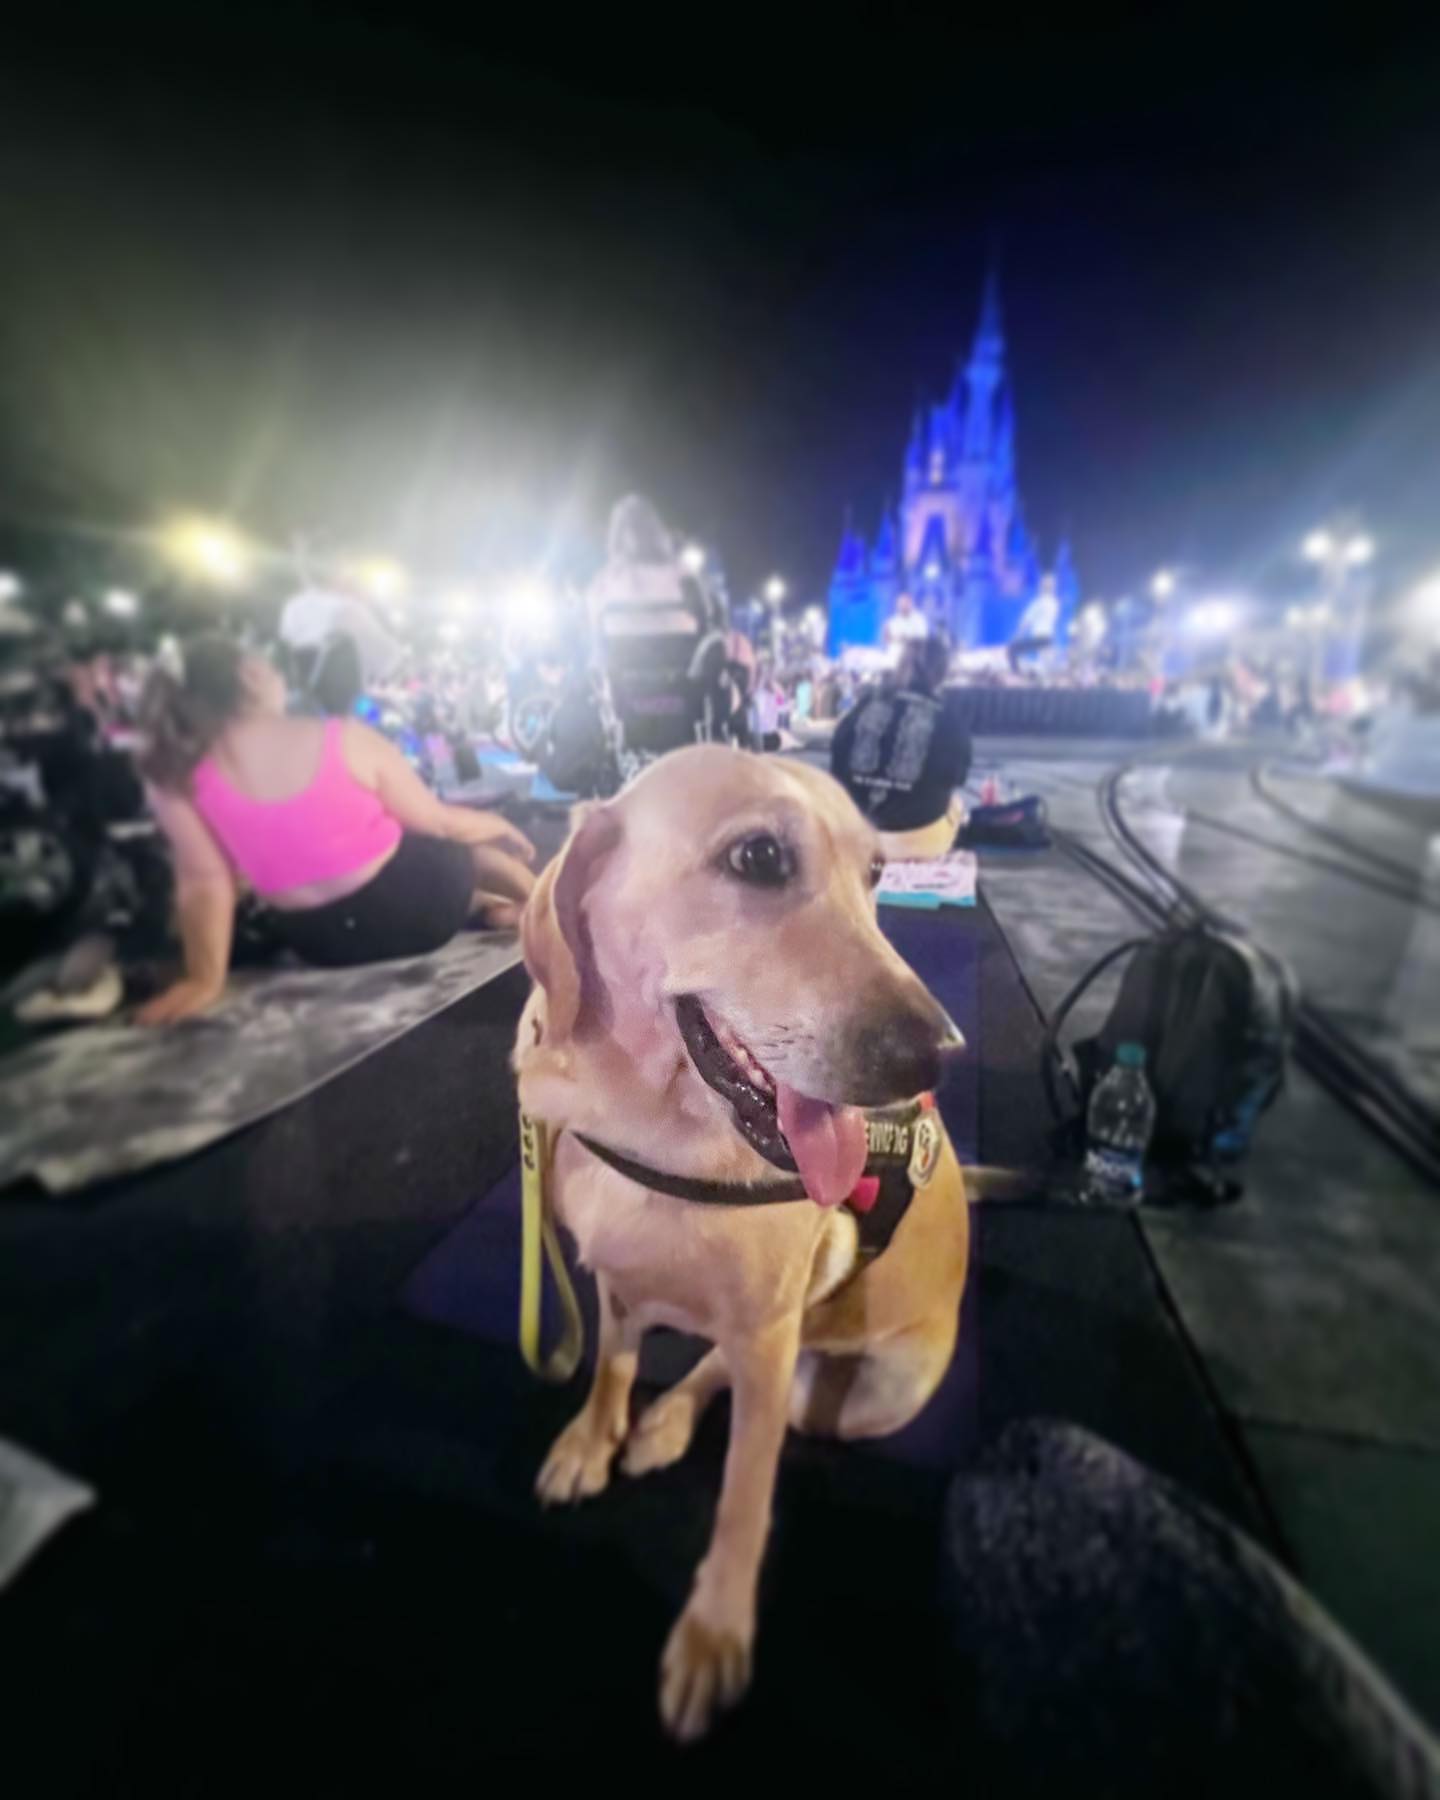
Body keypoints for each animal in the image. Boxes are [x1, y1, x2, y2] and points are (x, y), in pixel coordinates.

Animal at [514, 738, 964, 1735]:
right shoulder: (611, 1277)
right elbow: (611, 1362)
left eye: (877, 874)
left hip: (848, 1387)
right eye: (758, 857)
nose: (943, 1054)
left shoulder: (769, 1329)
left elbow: (743, 1497)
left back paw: (673, 1421)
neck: (653, 1124)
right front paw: (592, 1437)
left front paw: (714, 1632)